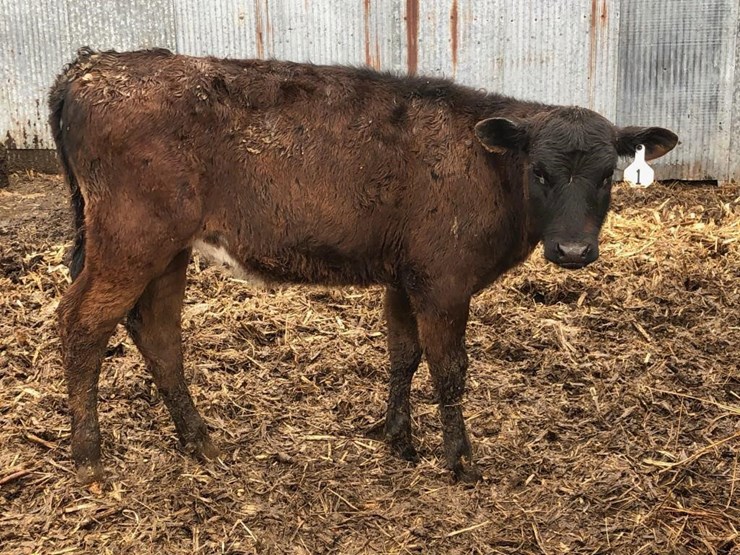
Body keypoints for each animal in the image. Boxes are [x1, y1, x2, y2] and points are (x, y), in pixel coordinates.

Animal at [49, 48, 677, 484]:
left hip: (165, 250)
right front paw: (460, 460)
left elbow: (403, 353)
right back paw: (89, 458)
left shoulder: (407, 277)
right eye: (539, 172)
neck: (486, 167)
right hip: (129, 241)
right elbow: (449, 369)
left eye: (607, 174)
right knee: (82, 324)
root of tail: (89, 68)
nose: (572, 251)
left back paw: (199, 441)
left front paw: (397, 437)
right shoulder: (445, 281)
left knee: (157, 330)